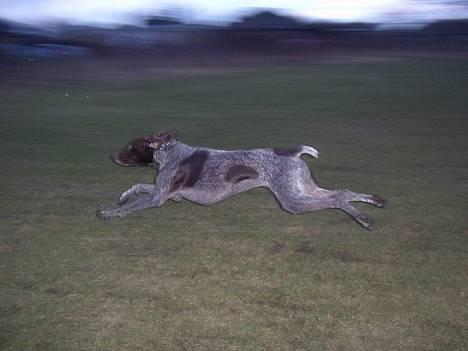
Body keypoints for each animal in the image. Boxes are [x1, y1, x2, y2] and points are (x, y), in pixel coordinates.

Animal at [97, 131, 386, 230]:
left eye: (131, 147)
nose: (110, 155)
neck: (169, 153)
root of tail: (292, 152)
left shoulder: (159, 197)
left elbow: (130, 207)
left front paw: (111, 212)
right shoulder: (165, 192)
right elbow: (135, 188)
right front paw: (122, 196)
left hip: (292, 201)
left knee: (338, 197)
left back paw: (363, 218)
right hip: (303, 190)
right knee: (343, 191)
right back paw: (374, 203)